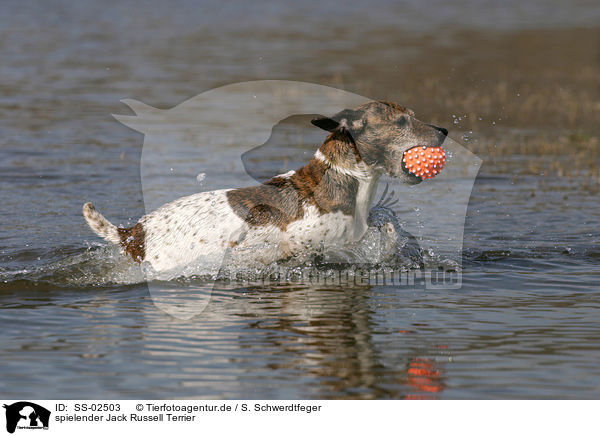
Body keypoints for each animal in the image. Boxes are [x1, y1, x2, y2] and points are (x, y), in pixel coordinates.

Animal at [84, 102, 448, 272]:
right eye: (400, 122)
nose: (444, 130)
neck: (345, 177)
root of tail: (134, 233)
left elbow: (385, 225)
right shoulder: (293, 245)